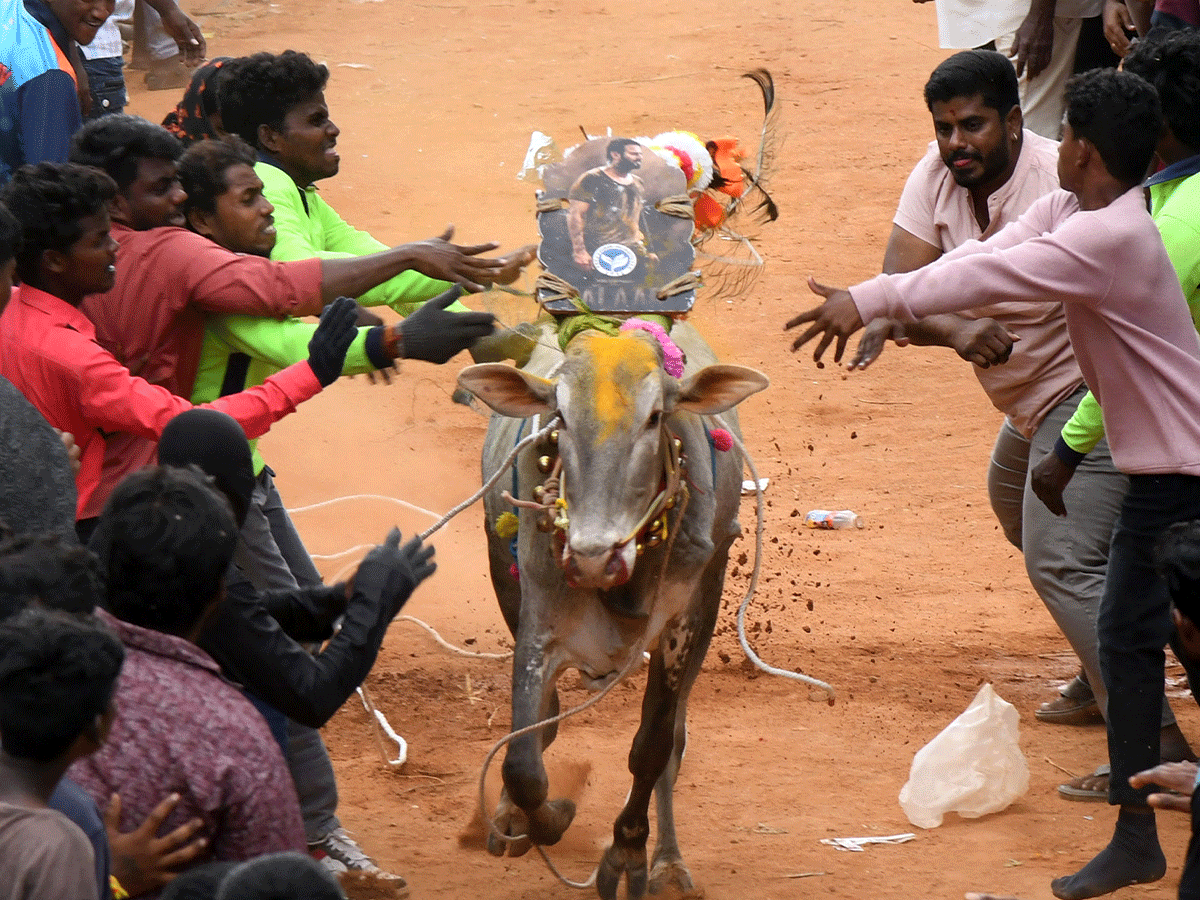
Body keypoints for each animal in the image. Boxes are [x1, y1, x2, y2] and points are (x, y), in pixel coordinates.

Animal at [458, 324, 768, 900]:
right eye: (559, 416)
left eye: (655, 416)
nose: (592, 556)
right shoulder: (537, 624)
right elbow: (523, 760)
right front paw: (544, 817)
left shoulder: (682, 627)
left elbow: (652, 748)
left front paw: (627, 856)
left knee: (674, 744)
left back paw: (669, 863)